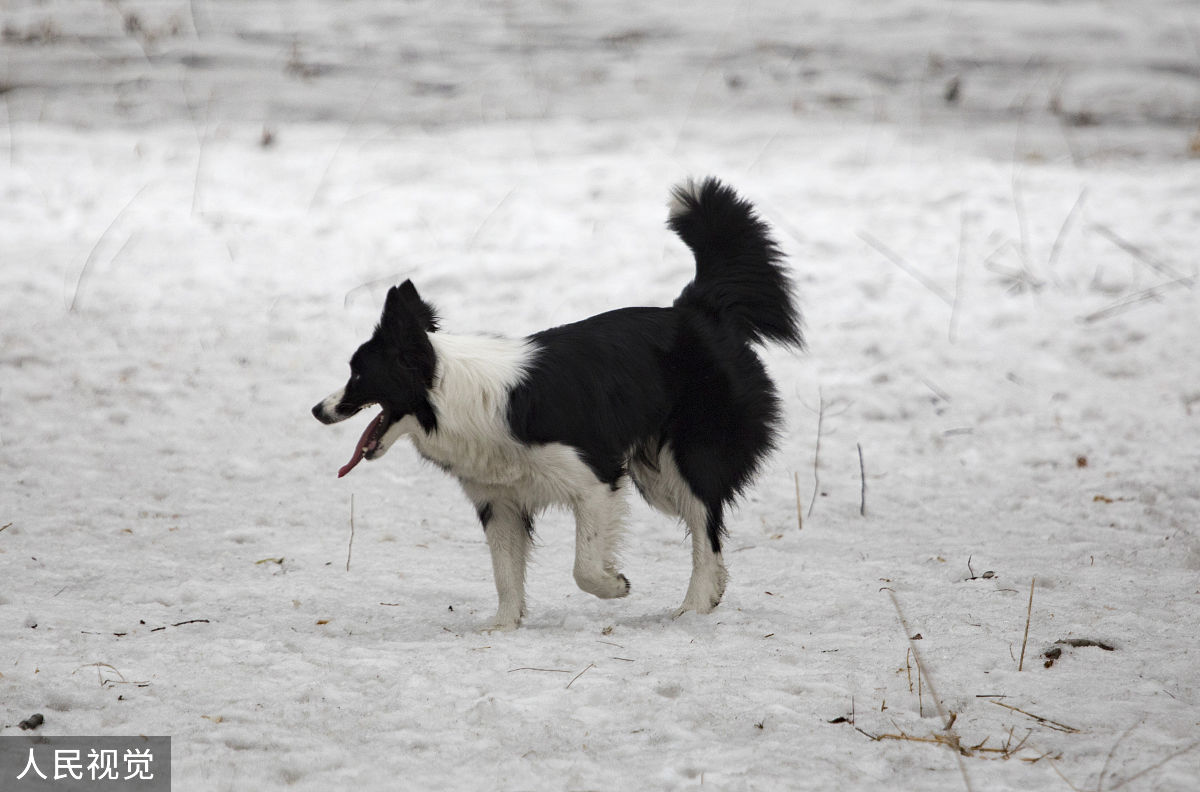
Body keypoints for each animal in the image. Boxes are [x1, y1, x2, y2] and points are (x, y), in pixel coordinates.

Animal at [314, 176, 801, 628]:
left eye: (358, 374)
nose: (318, 410)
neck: (453, 396)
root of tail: (697, 309)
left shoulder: (596, 479)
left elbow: (583, 566)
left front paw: (615, 585)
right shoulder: (500, 502)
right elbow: (506, 574)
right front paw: (502, 627)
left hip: (689, 457)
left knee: (705, 524)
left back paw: (693, 607)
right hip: (655, 475)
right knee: (707, 526)